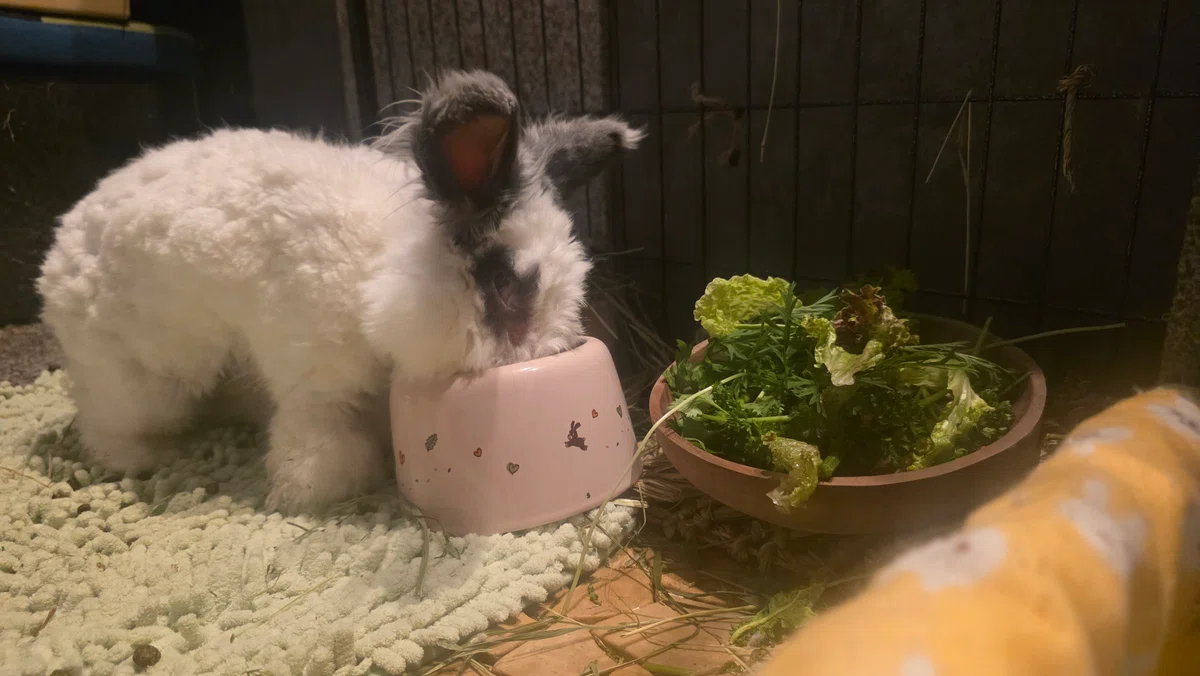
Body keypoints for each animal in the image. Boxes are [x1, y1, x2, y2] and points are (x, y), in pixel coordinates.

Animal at [36, 70, 643, 513]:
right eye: (504, 285)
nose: (541, 355)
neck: (376, 276)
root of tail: (58, 247)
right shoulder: (317, 385)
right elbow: (321, 454)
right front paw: (296, 496)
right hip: (141, 382)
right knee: (104, 423)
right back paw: (139, 458)